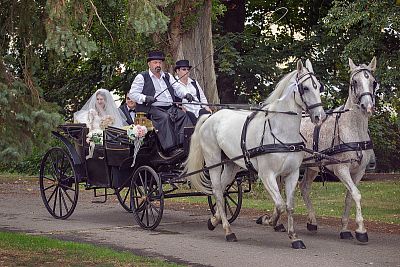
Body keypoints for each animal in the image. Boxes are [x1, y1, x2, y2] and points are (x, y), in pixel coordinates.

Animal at [184, 59, 324, 250]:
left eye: (319, 87)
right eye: (305, 88)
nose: (320, 116)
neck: (281, 132)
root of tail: (211, 116)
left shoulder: (292, 174)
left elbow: (289, 206)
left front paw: (294, 237)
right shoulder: (267, 175)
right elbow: (280, 205)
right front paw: (268, 220)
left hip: (231, 165)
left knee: (222, 189)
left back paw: (214, 220)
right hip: (213, 161)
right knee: (218, 192)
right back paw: (228, 231)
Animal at [298, 57, 376, 244]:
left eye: (373, 82)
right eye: (355, 82)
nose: (368, 106)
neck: (354, 130)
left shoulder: (359, 171)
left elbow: (349, 197)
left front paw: (345, 229)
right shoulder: (341, 169)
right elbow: (356, 195)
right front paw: (361, 230)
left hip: (312, 167)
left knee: (304, 188)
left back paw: (312, 221)